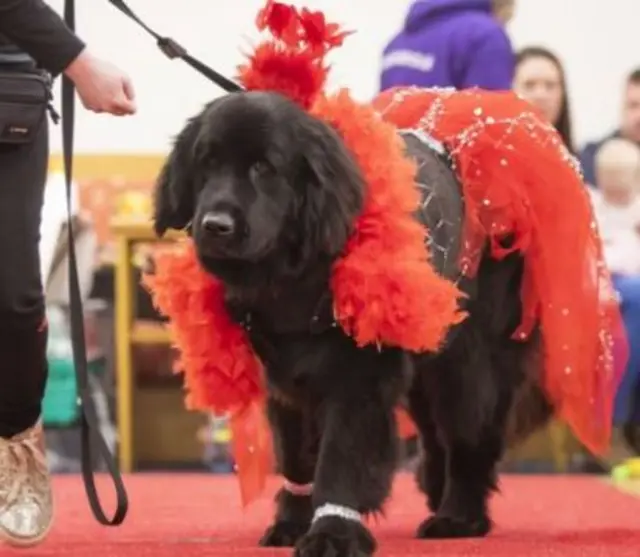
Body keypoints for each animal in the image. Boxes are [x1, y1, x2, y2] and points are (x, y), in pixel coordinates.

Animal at [154, 91, 552, 556]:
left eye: (264, 167)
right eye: (207, 163)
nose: (216, 225)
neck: (298, 278)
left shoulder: (361, 377)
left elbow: (342, 457)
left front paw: (333, 532)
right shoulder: (287, 380)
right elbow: (297, 458)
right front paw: (292, 522)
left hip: (469, 357)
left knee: (471, 432)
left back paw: (459, 516)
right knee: (435, 434)